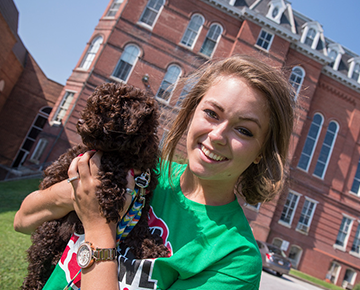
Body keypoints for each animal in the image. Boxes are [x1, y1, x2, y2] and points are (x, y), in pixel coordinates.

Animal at [21, 82, 169, 288]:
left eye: (105, 111)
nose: (80, 121)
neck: (131, 156)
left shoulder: (143, 199)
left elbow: (139, 227)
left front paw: (152, 246)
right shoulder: (88, 153)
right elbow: (110, 160)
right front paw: (110, 200)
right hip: (48, 229)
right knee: (37, 261)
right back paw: (33, 282)